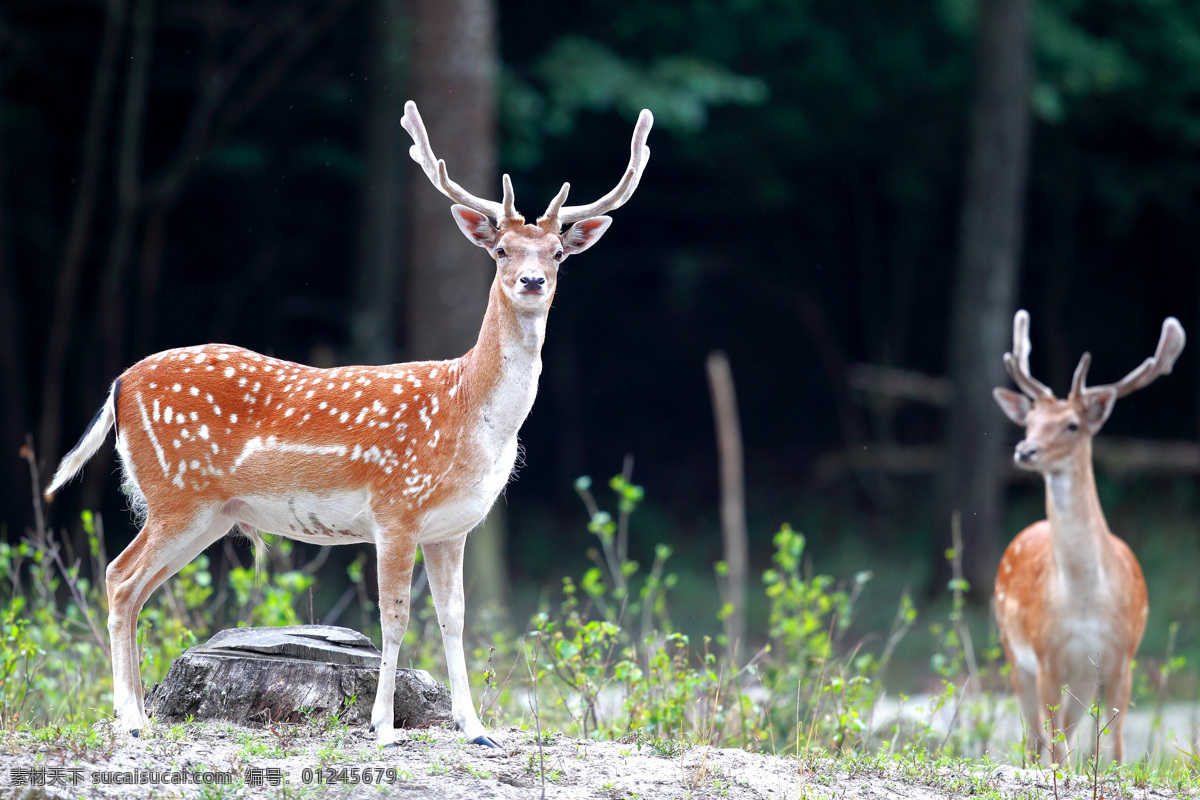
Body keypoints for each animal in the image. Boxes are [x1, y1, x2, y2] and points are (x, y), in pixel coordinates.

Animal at [44, 101, 657, 753]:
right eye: (501, 251)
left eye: (558, 254)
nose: (532, 282)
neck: (470, 416)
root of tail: (119, 384)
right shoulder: (396, 507)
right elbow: (394, 616)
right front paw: (383, 726)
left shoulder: (453, 527)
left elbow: (455, 618)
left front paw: (476, 729)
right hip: (175, 493)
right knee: (119, 576)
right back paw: (130, 718)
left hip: (210, 513)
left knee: (134, 585)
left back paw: (136, 711)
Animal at [993, 309, 1180, 762]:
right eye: (1029, 422)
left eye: (1072, 425)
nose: (1025, 450)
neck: (1083, 599)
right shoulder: (1046, 657)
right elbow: (1055, 745)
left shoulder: (1123, 656)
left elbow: (1112, 748)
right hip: (1014, 650)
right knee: (1034, 738)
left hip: (1081, 678)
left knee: (1062, 730)